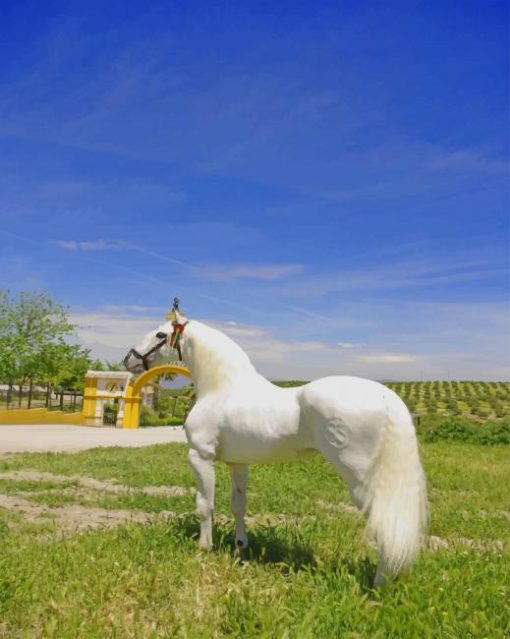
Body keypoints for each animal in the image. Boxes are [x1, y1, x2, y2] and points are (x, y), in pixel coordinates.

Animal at [123, 312, 426, 588]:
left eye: (161, 334)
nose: (129, 359)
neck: (222, 390)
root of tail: (386, 396)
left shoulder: (200, 457)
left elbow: (205, 505)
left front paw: (204, 549)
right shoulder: (238, 464)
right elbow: (238, 505)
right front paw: (241, 547)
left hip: (361, 480)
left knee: (384, 521)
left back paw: (379, 584)